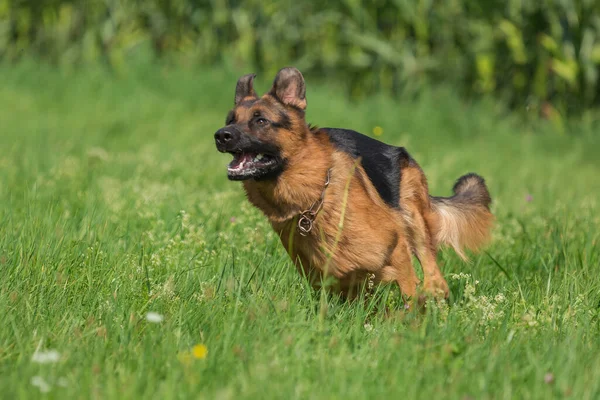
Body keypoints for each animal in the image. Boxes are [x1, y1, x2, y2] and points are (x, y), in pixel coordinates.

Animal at [214, 66, 492, 304]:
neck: (314, 198)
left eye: (260, 120)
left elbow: (408, 292)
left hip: (414, 220)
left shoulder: (396, 247)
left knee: (435, 278)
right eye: (230, 119)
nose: (221, 135)